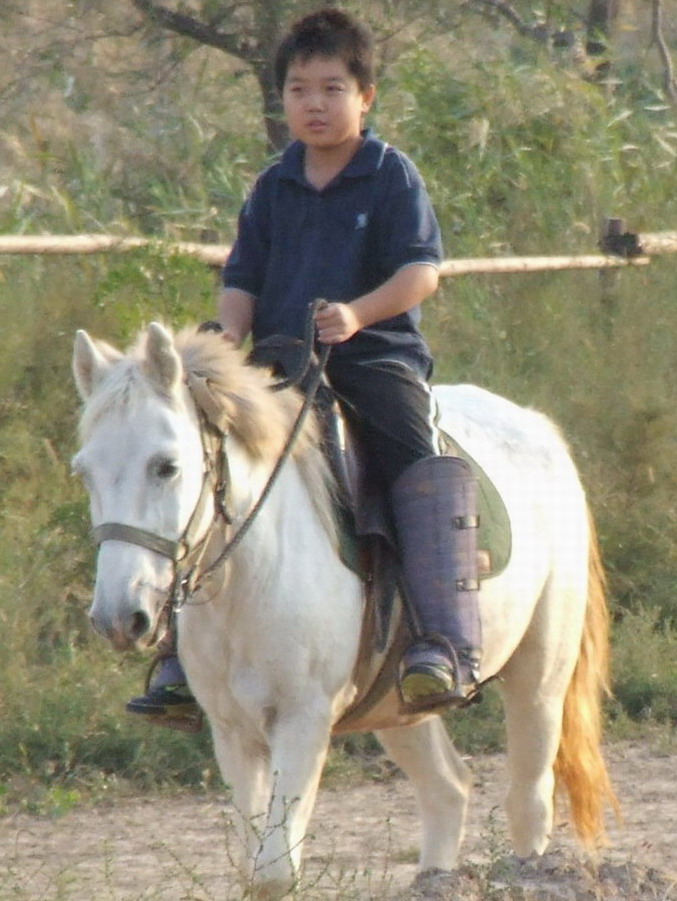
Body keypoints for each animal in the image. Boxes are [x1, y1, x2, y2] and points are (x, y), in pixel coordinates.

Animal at [72, 324, 616, 900]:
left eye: (166, 467)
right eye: (84, 472)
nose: (117, 618)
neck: (252, 574)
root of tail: (537, 427)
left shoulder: (302, 722)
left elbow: (274, 871)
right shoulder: (234, 734)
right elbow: (251, 866)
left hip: (539, 681)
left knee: (528, 803)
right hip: (399, 705)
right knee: (448, 789)